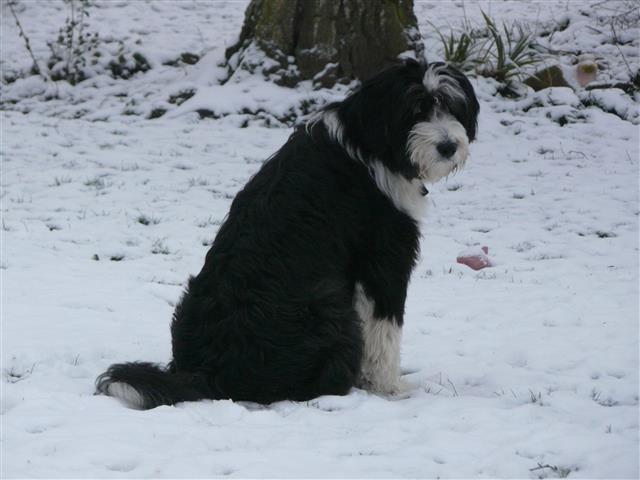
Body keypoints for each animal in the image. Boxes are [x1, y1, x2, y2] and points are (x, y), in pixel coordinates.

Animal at [97, 58, 478, 406]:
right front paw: (391, 388)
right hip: (330, 307)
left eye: (451, 106)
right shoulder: (384, 258)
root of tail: (209, 372)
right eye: (416, 110)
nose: (448, 147)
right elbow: (386, 330)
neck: (371, 142)